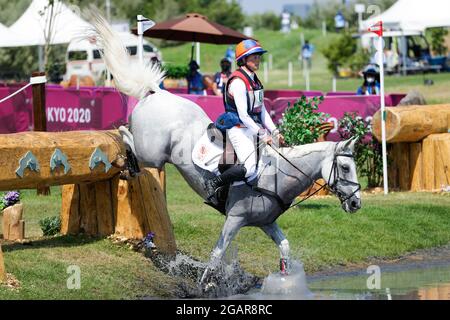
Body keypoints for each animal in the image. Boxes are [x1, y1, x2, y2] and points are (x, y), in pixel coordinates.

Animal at [87, 14, 362, 284]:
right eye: (345, 167)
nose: (356, 204)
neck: (277, 177)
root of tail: (155, 92)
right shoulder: (235, 218)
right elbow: (217, 253)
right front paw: (207, 283)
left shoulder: (266, 222)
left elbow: (284, 248)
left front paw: (285, 277)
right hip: (152, 153)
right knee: (125, 134)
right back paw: (122, 159)